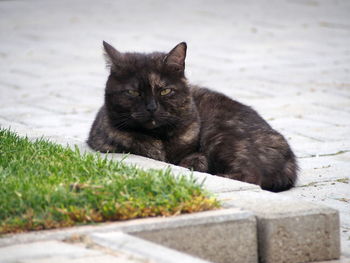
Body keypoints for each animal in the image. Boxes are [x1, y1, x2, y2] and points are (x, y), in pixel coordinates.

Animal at [88, 41, 298, 192]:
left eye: (165, 91)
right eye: (133, 92)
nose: (151, 108)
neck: (159, 139)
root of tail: (290, 161)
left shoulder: (196, 150)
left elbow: (196, 159)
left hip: (221, 135)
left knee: (250, 177)